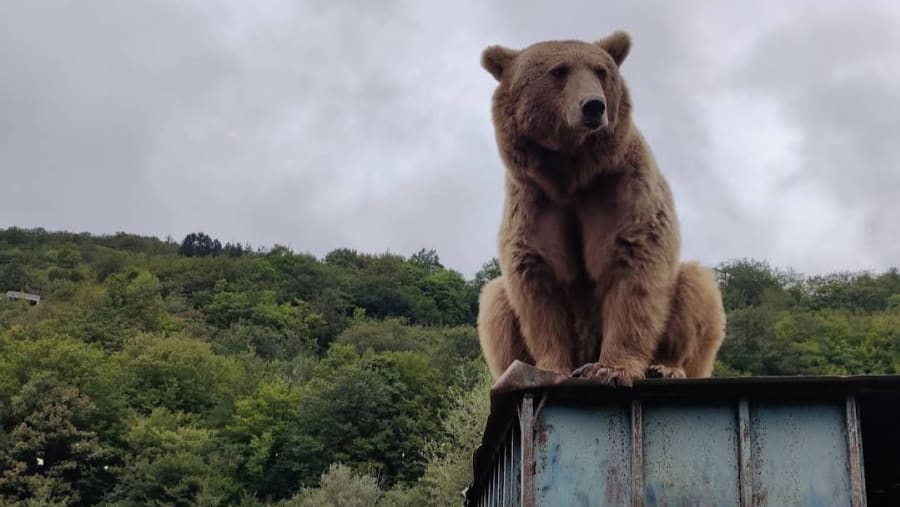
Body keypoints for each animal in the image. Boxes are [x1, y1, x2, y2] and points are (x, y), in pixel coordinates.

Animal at [476, 31, 726, 387]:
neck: (571, 173)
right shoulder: (535, 204)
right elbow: (537, 289)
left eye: (600, 71)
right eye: (559, 71)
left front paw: (610, 368)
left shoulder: (621, 195)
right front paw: (551, 366)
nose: (593, 106)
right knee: (496, 300)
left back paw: (666, 365)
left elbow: (635, 276)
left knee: (696, 286)